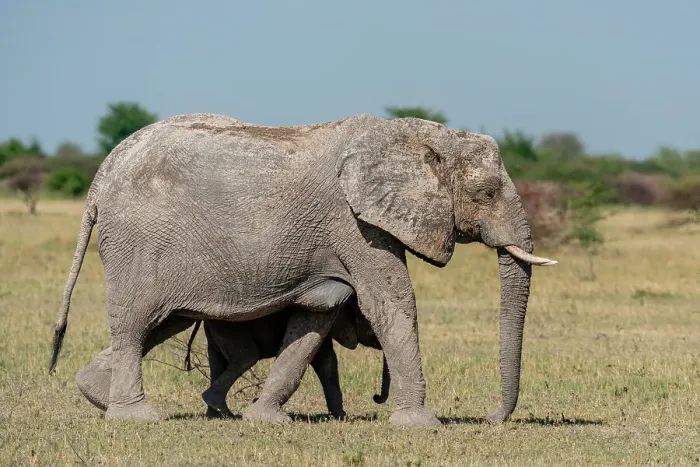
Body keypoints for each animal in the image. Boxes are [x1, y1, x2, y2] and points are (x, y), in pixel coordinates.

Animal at [48, 112, 557, 427]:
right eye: (486, 193)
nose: (491, 418)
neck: (410, 136)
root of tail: (101, 176)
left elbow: (317, 319)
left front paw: (265, 419)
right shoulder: (353, 221)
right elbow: (391, 303)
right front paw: (421, 425)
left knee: (160, 323)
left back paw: (97, 395)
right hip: (137, 242)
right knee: (137, 323)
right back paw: (135, 416)